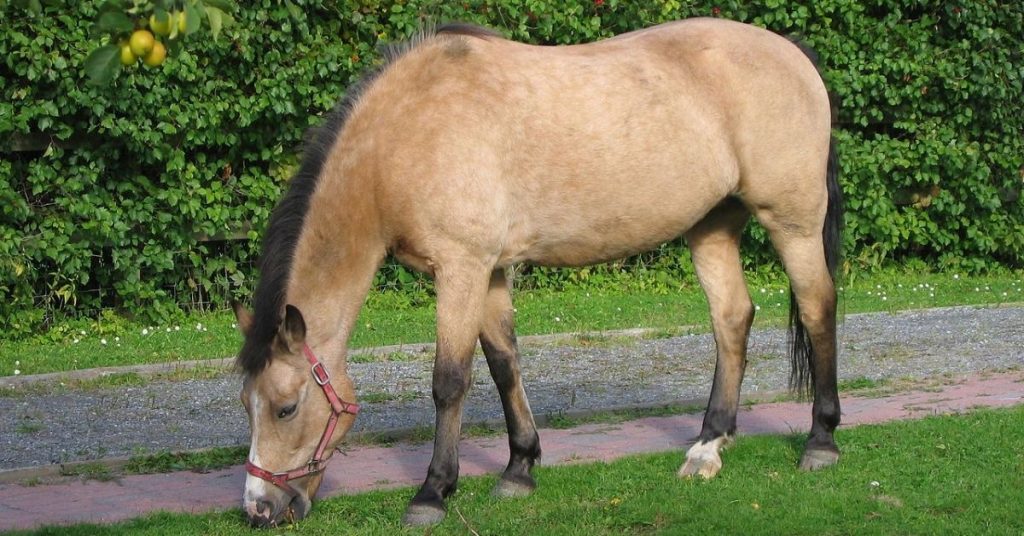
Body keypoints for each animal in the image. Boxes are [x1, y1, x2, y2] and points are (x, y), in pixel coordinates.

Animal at [232, 18, 843, 528]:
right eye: (246, 406)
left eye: (286, 408)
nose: (259, 510)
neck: (404, 135)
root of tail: (794, 54)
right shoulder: (491, 271)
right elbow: (505, 364)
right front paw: (519, 469)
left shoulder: (461, 267)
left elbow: (449, 380)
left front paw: (433, 492)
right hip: (712, 226)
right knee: (732, 319)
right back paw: (708, 447)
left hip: (792, 221)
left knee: (818, 307)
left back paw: (821, 442)